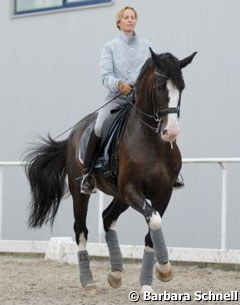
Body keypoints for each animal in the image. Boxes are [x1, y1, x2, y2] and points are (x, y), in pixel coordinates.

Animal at [24, 48, 197, 294]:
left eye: (181, 87)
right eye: (159, 87)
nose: (170, 132)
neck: (151, 141)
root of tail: (74, 133)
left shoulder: (163, 193)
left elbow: (153, 226)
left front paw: (152, 280)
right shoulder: (132, 190)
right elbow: (154, 220)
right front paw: (164, 271)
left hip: (120, 196)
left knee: (107, 217)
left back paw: (115, 274)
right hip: (82, 192)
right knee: (81, 230)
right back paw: (88, 282)